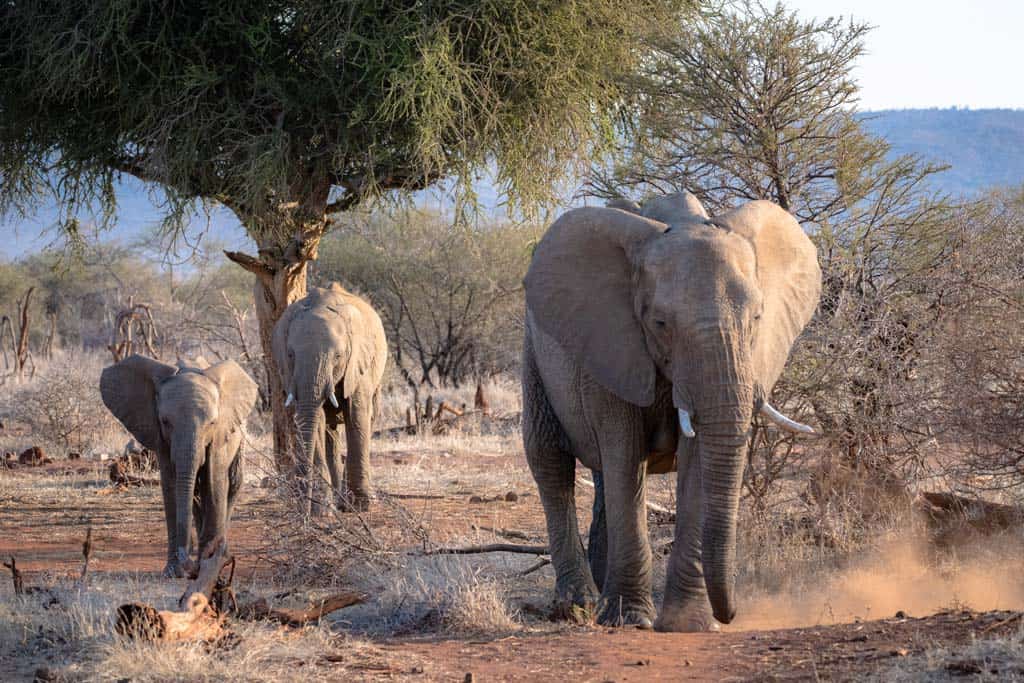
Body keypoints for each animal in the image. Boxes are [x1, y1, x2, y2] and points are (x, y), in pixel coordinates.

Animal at [99, 358, 258, 577]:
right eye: (165, 422)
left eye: (212, 423)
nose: (187, 559)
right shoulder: (159, 437)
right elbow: (172, 485)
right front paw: (174, 572)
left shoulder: (220, 434)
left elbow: (214, 482)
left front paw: (210, 568)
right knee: (196, 494)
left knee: (232, 483)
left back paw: (220, 553)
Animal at [272, 282, 387, 511]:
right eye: (290, 355)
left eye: (338, 356)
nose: (303, 505)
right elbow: (314, 419)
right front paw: (322, 511)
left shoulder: (358, 364)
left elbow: (357, 415)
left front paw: (362, 505)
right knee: (329, 432)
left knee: (367, 419)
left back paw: (348, 502)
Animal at [524, 191, 819, 630]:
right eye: (661, 323)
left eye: (757, 318)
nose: (730, 614)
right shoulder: (614, 343)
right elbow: (625, 457)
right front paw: (631, 620)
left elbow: (695, 463)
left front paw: (687, 624)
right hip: (533, 347)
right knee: (550, 462)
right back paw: (577, 607)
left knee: (601, 477)